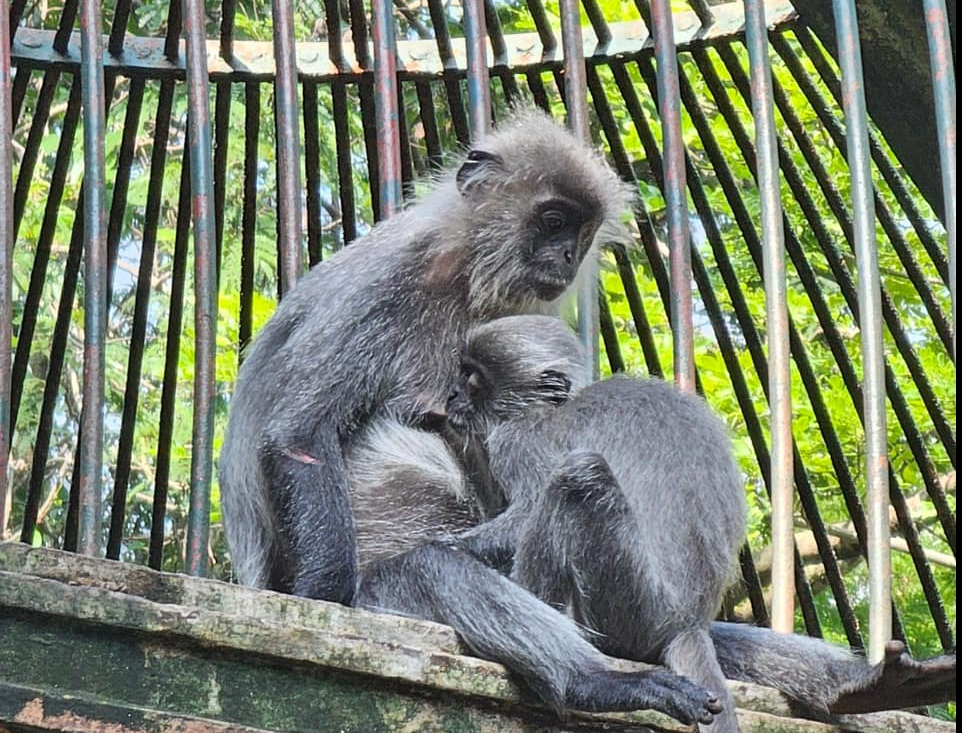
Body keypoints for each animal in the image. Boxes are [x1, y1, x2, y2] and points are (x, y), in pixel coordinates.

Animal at [218, 111, 720, 724]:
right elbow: (300, 435)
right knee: (426, 569)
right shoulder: (383, 287)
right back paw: (598, 682)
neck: (464, 277)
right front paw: (321, 600)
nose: (566, 258)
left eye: (580, 235)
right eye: (553, 221)